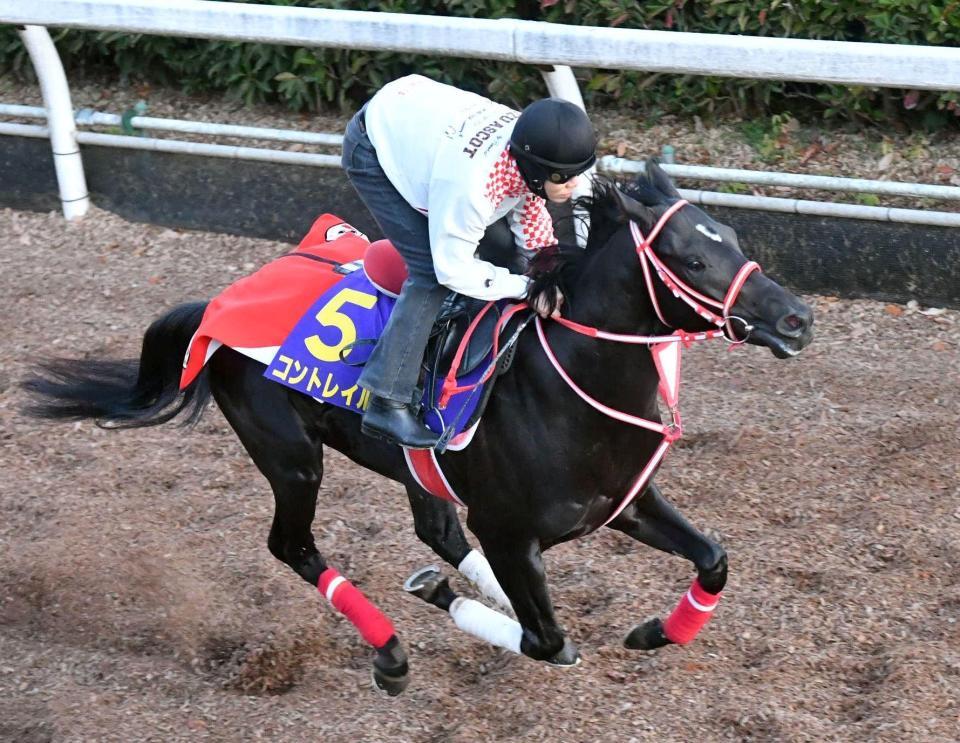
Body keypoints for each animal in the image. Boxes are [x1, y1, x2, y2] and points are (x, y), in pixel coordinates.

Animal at [23, 160, 814, 695]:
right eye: (692, 256)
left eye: (733, 233)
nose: (797, 317)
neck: (567, 391)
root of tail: (221, 300)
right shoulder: (510, 532)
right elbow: (550, 641)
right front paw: (445, 603)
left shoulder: (625, 504)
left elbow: (714, 558)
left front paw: (655, 631)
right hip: (292, 456)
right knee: (293, 545)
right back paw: (392, 653)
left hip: (410, 465)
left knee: (435, 529)